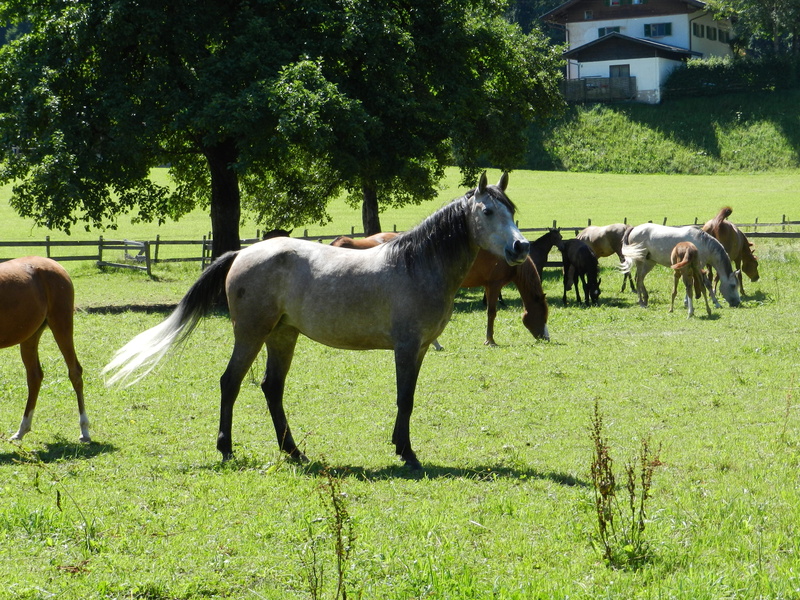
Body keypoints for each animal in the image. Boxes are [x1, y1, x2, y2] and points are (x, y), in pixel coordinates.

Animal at [1, 257, 90, 443]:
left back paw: (85, 430)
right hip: (30, 336)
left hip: (61, 325)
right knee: (34, 376)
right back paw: (22, 430)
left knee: (75, 372)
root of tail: (56, 265)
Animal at [104, 172, 530, 471]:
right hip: (252, 334)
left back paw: (293, 452)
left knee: (271, 388)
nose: (521, 246)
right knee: (231, 382)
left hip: (282, 336)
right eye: (487, 212)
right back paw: (226, 448)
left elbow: (407, 398)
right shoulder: (407, 348)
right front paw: (407, 452)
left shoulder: (421, 349)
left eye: (512, 211)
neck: (418, 264)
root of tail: (242, 254)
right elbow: (404, 399)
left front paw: (401, 446)